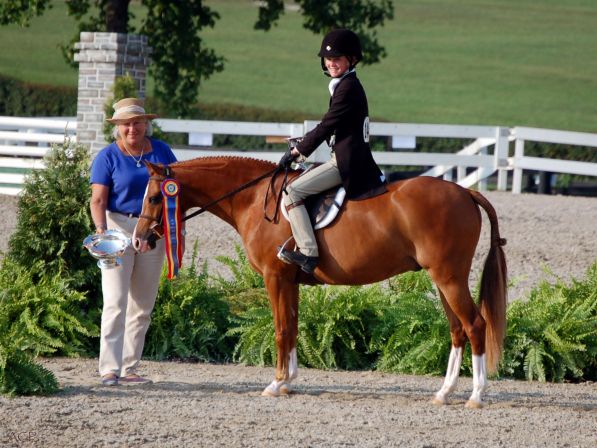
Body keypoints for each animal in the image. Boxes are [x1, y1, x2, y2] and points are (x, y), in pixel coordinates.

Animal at [133, 156, 507, 408]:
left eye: (154, 197)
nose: (139, 240)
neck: (253, 198)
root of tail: (463, 191)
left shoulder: (275, 277)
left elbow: (281, 328)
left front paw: (276, 383)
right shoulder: (290, 281)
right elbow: (293, 326)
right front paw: (289, 382)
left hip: (449, 277)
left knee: (475, 325)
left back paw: (476, 395)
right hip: (442, 279)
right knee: (457, 329)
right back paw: (444, 393)